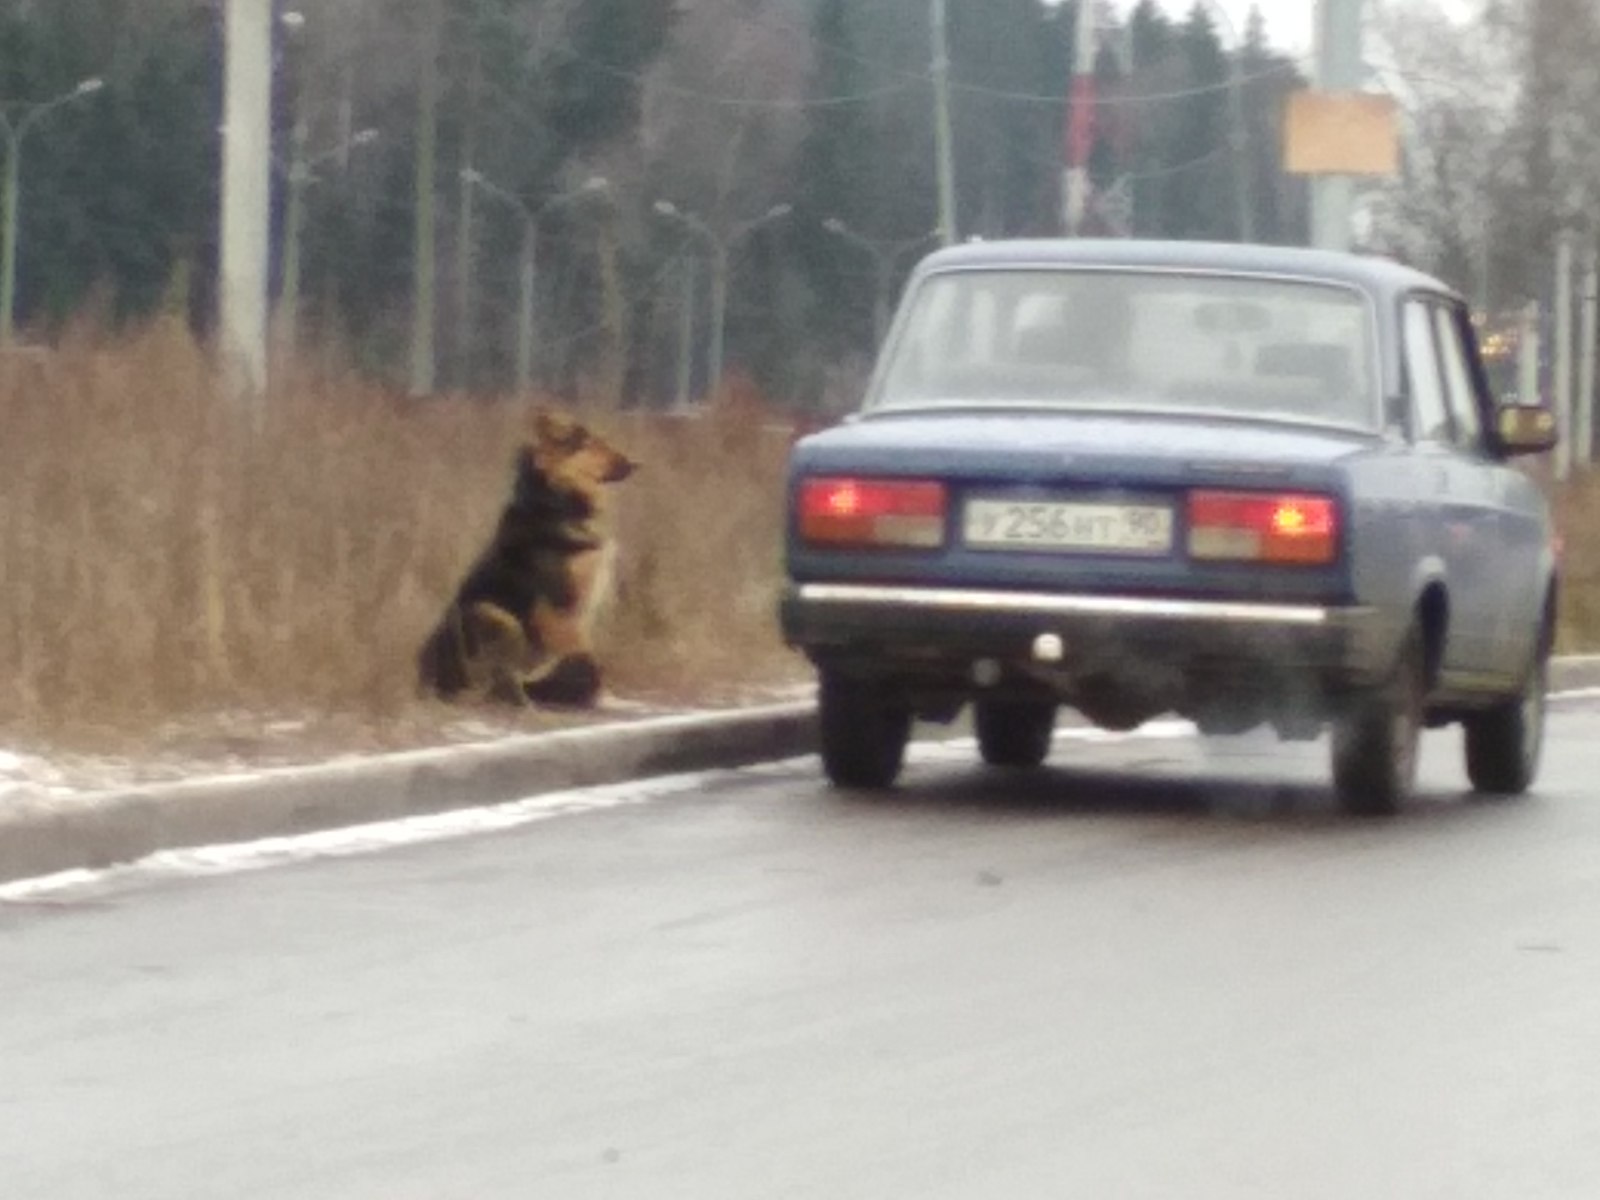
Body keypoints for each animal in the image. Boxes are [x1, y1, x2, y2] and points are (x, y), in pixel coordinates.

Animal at [419, 412, 636, 710]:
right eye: (596, 444)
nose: (636, 464)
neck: (559, 501)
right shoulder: (559, 610)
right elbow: (583, 656)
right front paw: (600, 694)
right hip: (492, 615)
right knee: (502, 681)